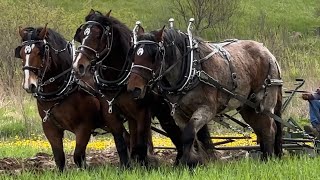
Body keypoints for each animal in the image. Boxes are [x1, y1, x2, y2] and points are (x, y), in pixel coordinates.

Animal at [14, 25, 114, 172]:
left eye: (39, 53)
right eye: (21, 54)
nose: (29, 84)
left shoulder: (84, 127)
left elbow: (78, 156)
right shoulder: (50, 127)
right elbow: (59, 158)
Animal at [71, 9, 205, 165]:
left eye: (98, 35)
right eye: (82, 35)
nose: (78, 65)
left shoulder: (143, 112)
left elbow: (141, 142)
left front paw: (144, 164)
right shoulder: (111, 113)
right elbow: (121, 142)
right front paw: (126, 165)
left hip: (167, 112)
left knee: (176, 134)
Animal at [126, 24, 284, 167]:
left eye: (154, 55)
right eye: (134, 55)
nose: (134, 88)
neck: (192, 68)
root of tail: (269, 54)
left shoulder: (207, 109)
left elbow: (189, 135)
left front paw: (187, 162)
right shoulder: (179, 113)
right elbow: (191, 138)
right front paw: (196, 161)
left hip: (264, 102)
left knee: (269, 128)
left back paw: (268, 158)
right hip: (248, 107)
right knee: (260, 128)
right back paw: (265, 157)